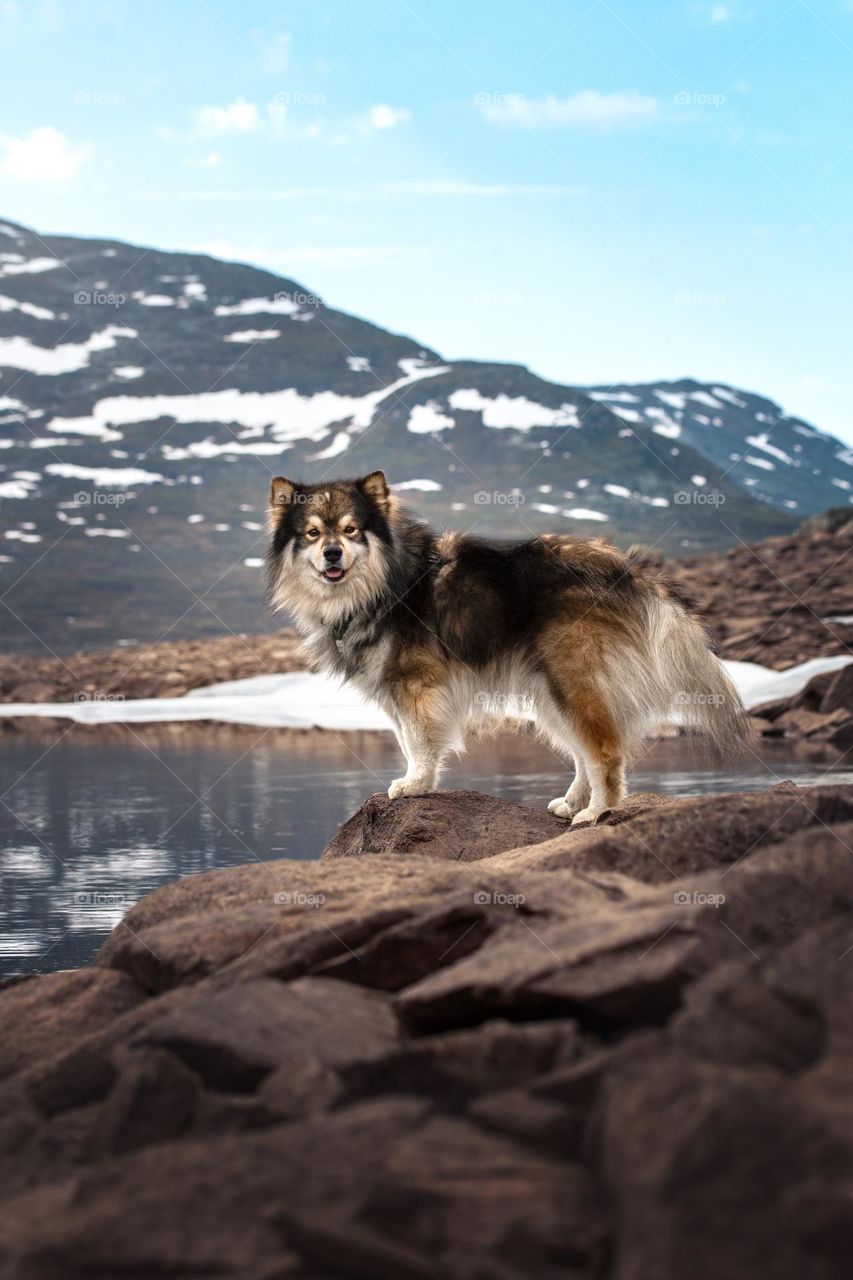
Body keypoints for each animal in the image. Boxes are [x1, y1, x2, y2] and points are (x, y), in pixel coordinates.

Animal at [266, 471, 742, 819]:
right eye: (312, 534)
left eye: (351, 530)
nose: (332, 553)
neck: (384, 583)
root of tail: (628, 571)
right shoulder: (395, 691)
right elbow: (406, 740)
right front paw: (417, 782)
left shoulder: (416, 686)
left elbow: (419, 743)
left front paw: (415, 785)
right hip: (552, 693)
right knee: (583, 753)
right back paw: (572, 803)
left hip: (574, 682)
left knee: (605, 753)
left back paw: (595, 813)